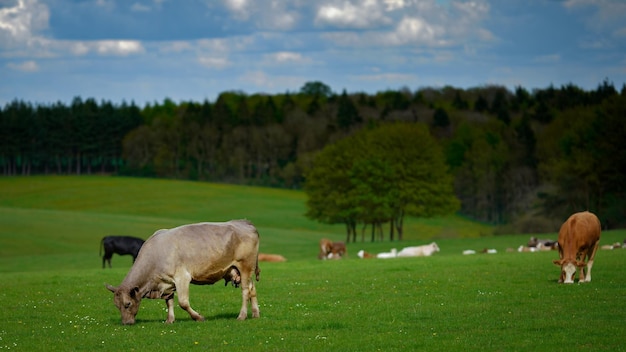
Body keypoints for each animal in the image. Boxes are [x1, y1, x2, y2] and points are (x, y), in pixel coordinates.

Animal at [105, 220, 258, 324]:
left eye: (127, 304)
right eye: (116, 305)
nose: (126, 323)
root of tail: (244, 222)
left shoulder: (182, 277)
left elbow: (183, 302)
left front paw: (198, 317)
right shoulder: (167, 282)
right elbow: (169, 302)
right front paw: (170, 320)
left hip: (245, 266)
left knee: (245, 290)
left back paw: (242, 316)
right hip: (240, 270)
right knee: (252, 288)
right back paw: (255, 313)